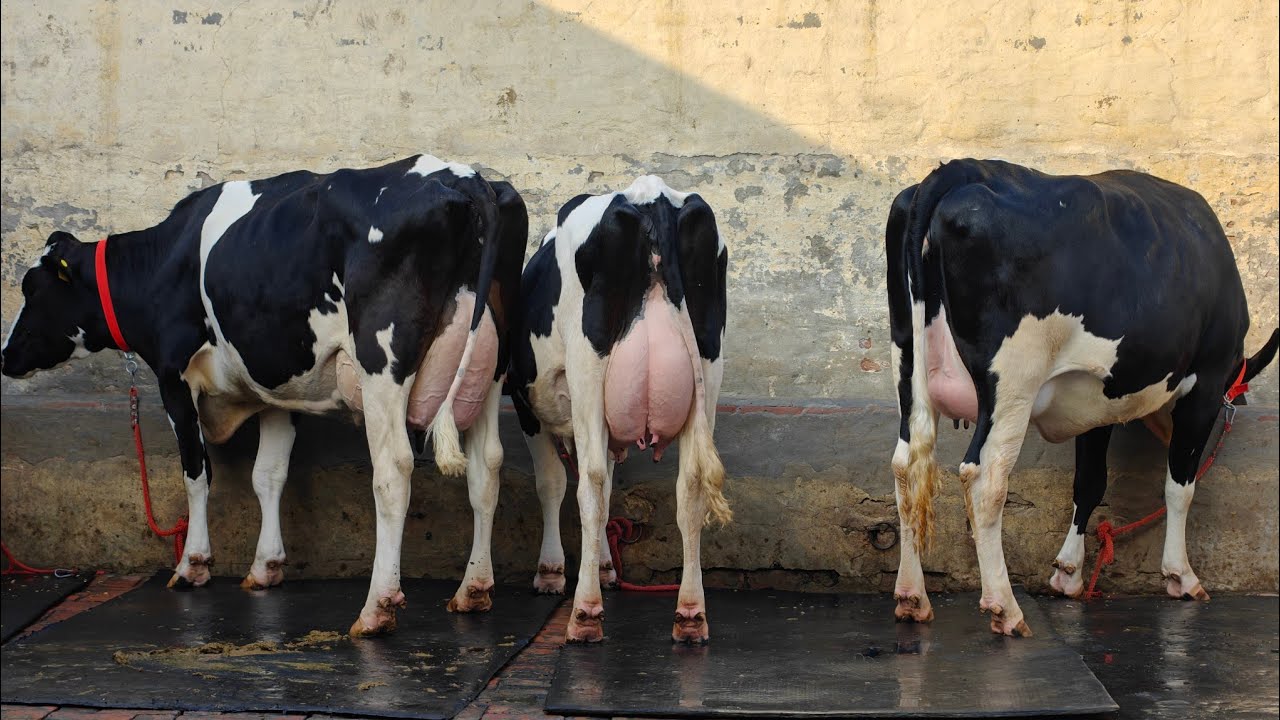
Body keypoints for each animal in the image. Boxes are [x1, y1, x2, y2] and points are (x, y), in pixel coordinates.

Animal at [1, 154, 528, 637]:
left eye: (32, 289)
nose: (5, 356)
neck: (162, 261)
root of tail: (466, 176)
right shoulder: (280, 391)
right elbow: (268, 475)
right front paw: (266, 566)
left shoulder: (173, 377)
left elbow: (197, 474)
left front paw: (192, 564)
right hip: (490, 364)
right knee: (487, 465)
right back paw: (473, 590)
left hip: (382, 360)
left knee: (394, 470)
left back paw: (376, 607)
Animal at [506, 175, 730, 643]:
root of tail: (652, 194)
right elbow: (610, 490)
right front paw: (607, 567)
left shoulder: (524, 402)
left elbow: (554, 483)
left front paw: (551, 571)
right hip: (709, 365)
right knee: (690, 486)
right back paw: (690, 614)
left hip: (588, 367)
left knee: (588, 483)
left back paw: (585, 613)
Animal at [886, 158, 1279, 636]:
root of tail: (960, 170)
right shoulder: (1204, 384)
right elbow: (1179, 486)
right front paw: (1181, 576)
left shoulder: (1095, 399)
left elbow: (1089, 482)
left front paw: (1068, 573)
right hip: (1013, 381)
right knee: (985, 479)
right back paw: (1005, 607)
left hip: (907, 364)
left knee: (907, 466)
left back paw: (912, 598)